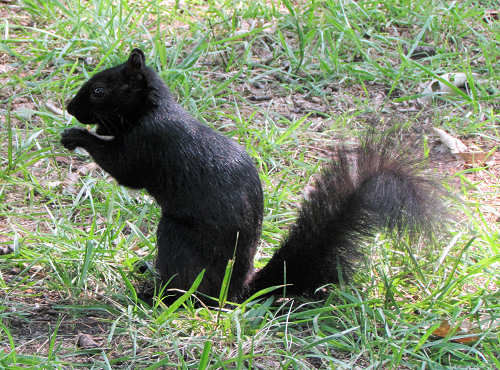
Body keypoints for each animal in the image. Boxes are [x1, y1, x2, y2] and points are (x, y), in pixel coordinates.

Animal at [61, 49, 442, 304]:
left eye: (99, 91)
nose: (69, 106)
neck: (152, 110)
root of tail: (236, 291)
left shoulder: (149, 143)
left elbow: (124, 169)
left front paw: (77, 136)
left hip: (176, 237)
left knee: (190, 290)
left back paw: (155, 296)